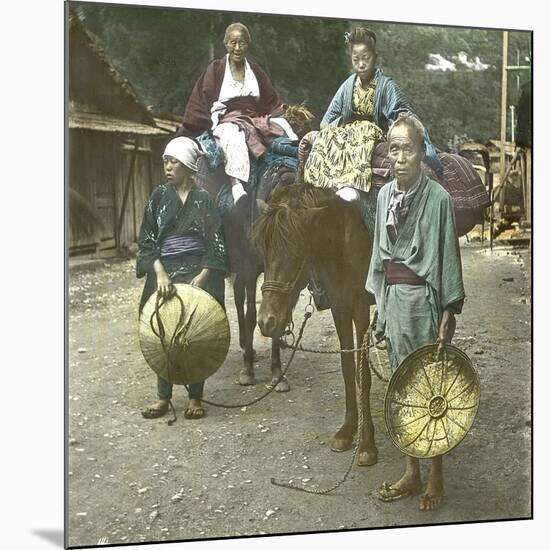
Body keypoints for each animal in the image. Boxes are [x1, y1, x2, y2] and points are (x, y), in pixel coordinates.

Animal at [195, 104, 314, 392]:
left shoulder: (285, 279)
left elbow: (279, 311)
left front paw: (277, 372)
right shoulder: (249, 270)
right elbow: (250, 313)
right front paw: (248, 369)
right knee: (241, 304)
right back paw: (244, 347)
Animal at [253, 183, 380, 468]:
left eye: (295, 250)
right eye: (263, 251)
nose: (266, 321)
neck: (342, 244)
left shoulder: (360, 307)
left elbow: (363, 373)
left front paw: (367, 444)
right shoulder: (339, 307)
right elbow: (347, 368)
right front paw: (347, 431)